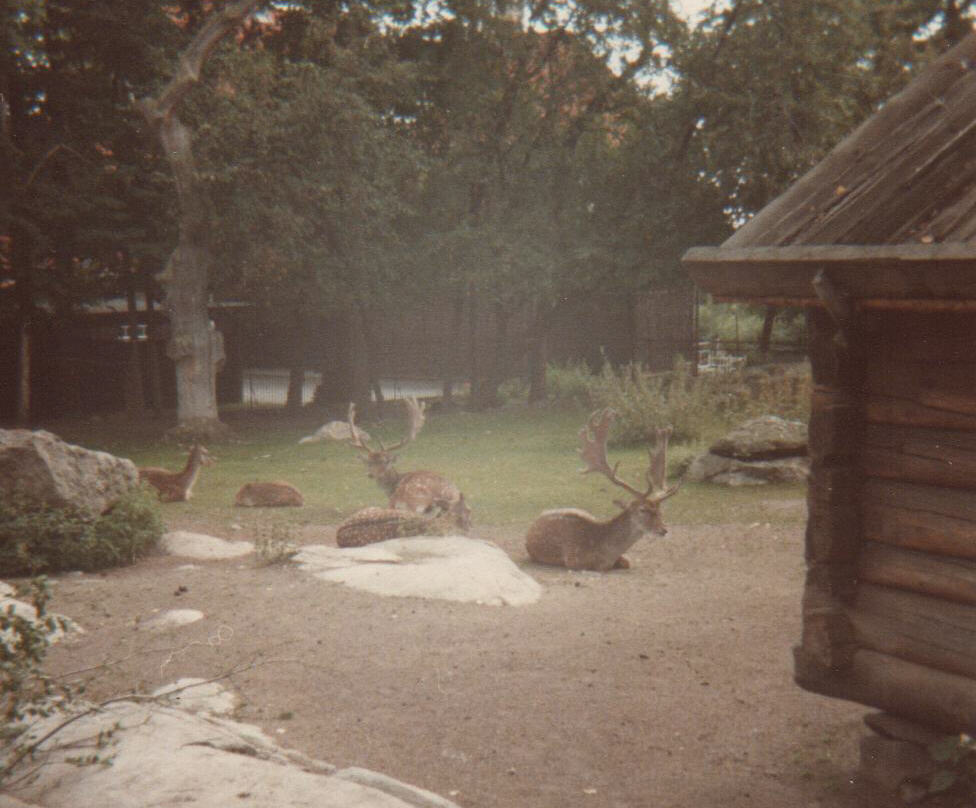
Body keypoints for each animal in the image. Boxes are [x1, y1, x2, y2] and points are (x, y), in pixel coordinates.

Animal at [528, 410, 680, 576]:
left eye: (660, 511)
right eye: (643, 509)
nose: (663, 530)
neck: (603, 551)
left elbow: (627, 561)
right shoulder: (573, 559)